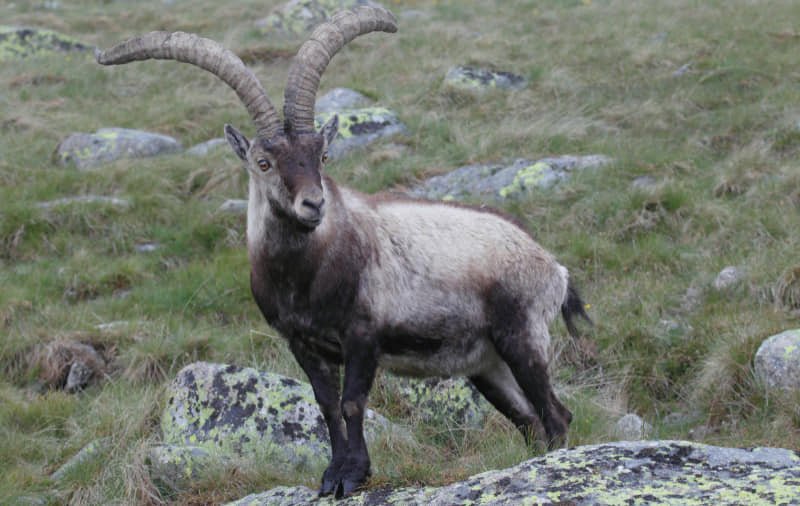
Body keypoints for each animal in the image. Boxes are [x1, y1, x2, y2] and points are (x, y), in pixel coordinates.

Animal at [96, 6, 590, 499]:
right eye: (263, 162)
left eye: (322, 155)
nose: (313, 204)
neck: (304, 275)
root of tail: (554, 268)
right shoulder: (303, 343)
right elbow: (326, 405)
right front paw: (331, 475)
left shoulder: (362, 335)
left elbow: (352, 403)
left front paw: (353, 475)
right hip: (486, 363)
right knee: (528, 418)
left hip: (521, 335)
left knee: (555, 414)